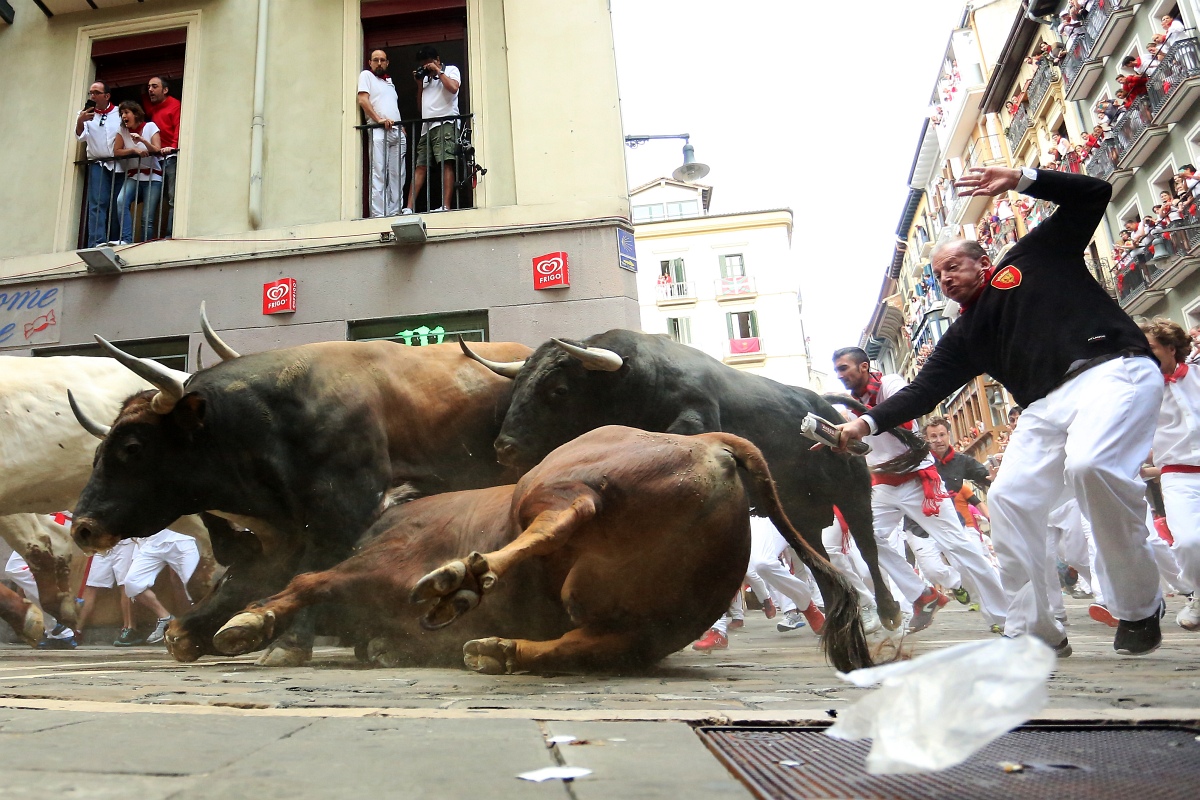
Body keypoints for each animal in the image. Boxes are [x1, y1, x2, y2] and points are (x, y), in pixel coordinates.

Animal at [70, 316, 530, 666]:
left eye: (132, 447)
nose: (82, 527)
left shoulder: (345, 510)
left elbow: (316, 570)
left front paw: (286, 642)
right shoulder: (285, 529)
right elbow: (256, 576)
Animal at [213, 424, 873, 676]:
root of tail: (713, 444)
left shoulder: (374, 563)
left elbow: (307, 582)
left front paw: (246, 626)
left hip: (554, 481)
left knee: (563, 514)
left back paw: (458, 585)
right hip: (645, 622)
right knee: (587, 640)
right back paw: (496, 647)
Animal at [460, 331, 926, 633]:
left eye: (557, 390)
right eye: (518, 387)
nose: (505, 447)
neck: (635, 385)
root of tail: (828, 410)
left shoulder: (694, 417)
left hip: (853, 491)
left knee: (867, 545)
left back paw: (888, 611)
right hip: (800, 509)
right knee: (814, 554)